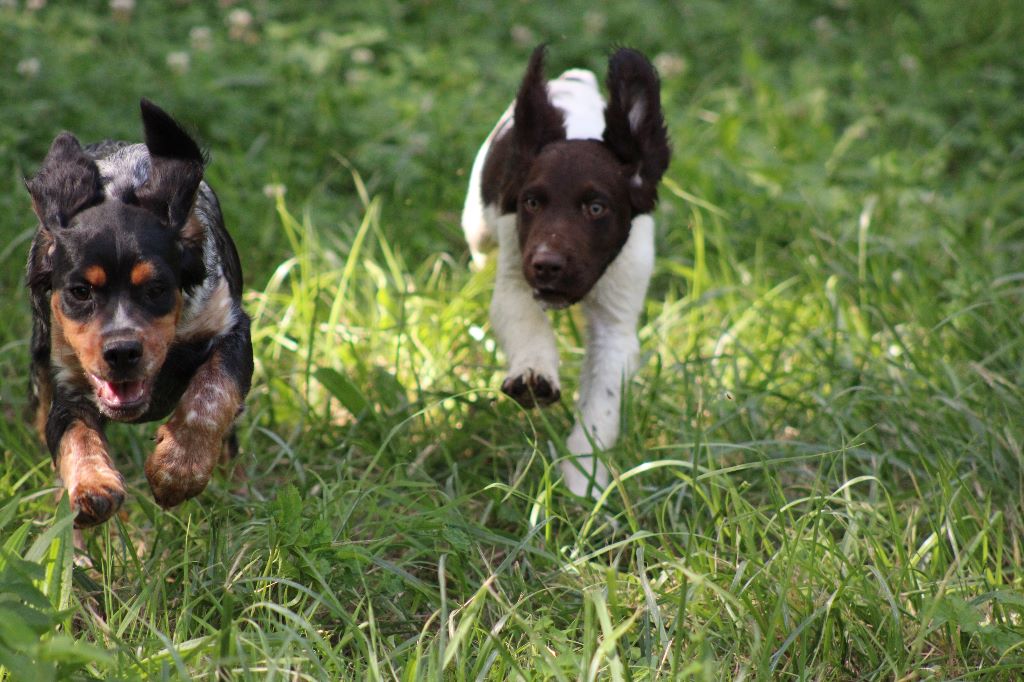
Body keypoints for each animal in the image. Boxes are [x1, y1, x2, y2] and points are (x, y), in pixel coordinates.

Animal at [25, 99, 253, 524]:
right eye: (80, 292)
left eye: (157, 289)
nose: (121, 352)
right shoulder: (68, 380)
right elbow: (74, 434)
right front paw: (92, 487)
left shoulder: (231, 329)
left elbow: (213, 394)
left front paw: (176, 471)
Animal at [464, 46, 671, 493]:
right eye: (531, 202)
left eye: (596, 208)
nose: (546, 265)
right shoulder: (516, 274)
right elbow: (527, 324)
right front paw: (533, 373)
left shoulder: (616, 326)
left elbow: (600, 407)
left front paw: (582, 479)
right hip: (479, 227)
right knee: (480, 248)